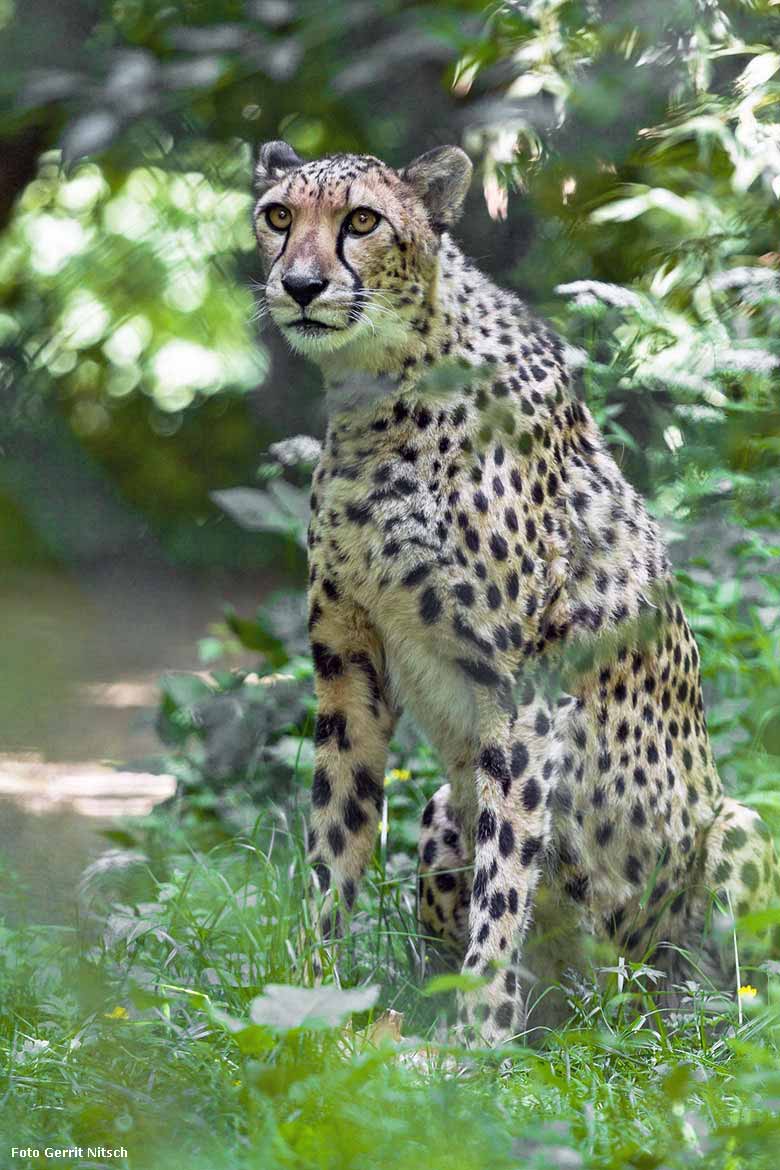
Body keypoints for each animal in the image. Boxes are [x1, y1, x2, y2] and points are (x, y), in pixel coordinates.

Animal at [253, 136, 776, 1043]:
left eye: (363, 221)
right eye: (278, 215)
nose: (302, 285)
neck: (380, 388)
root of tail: (592, 1012)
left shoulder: (522, 695)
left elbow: (505, 877)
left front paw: (477, 1039)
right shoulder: (348, 669)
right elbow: (333, 841)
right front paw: (309, 999)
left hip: (735, 834)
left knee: (727, 998)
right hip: (437, 810)